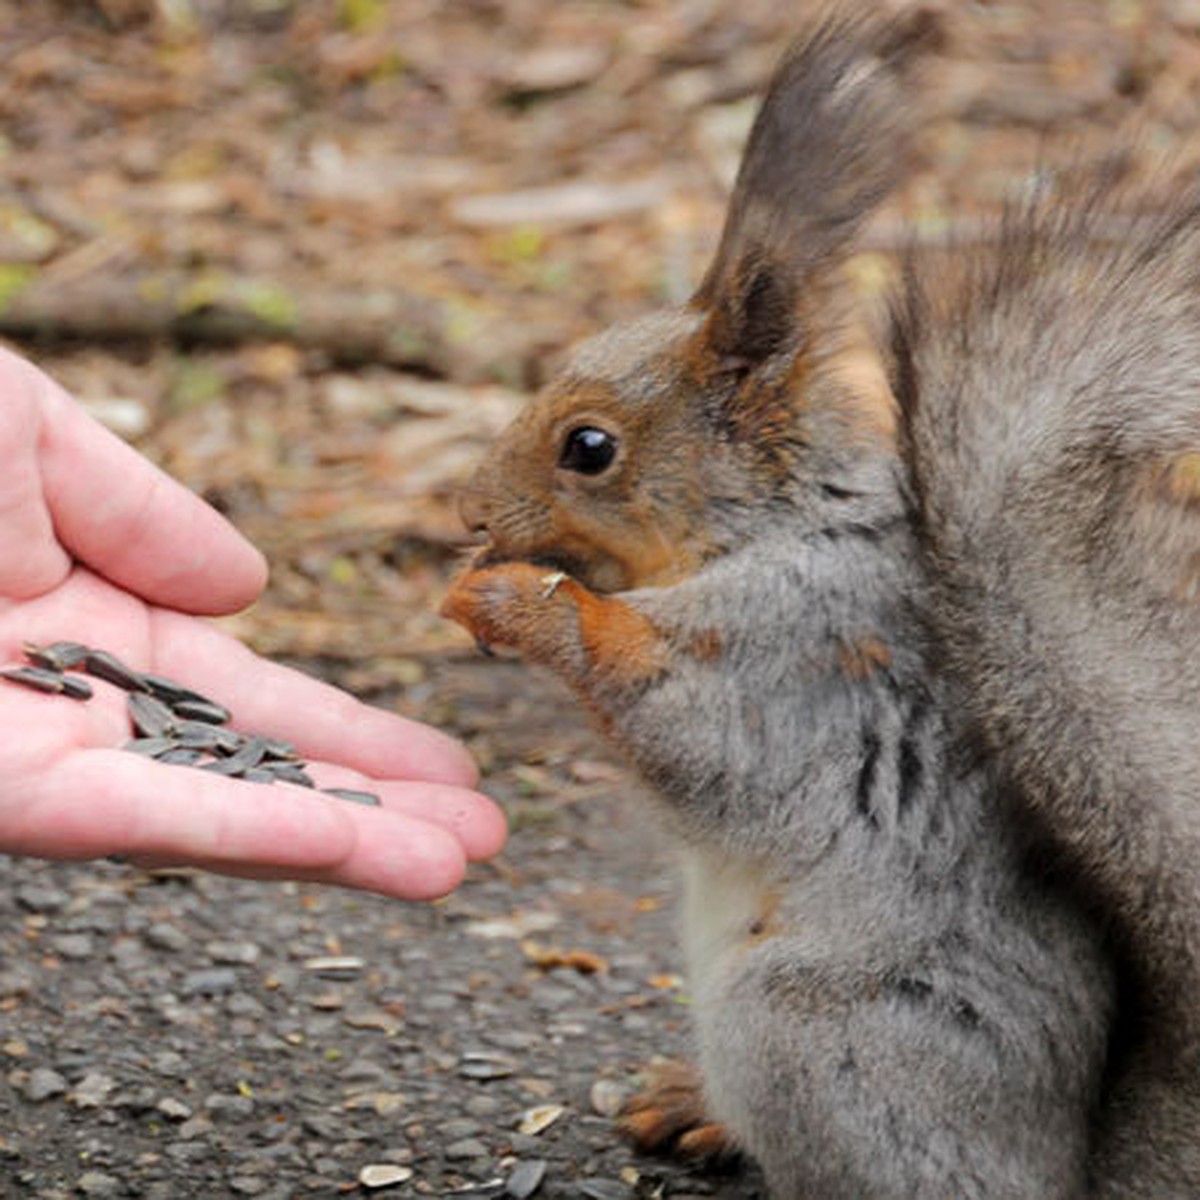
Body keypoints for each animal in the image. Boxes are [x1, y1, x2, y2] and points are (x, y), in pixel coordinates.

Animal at [436, 7, 1200, 1190]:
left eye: (589, 448)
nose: (470, 509)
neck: (774, 519)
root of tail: (1062, 1168)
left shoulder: (801, 649)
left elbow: (696, 735)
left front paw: (526, 605)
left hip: (804, 1028)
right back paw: (692, 1106)